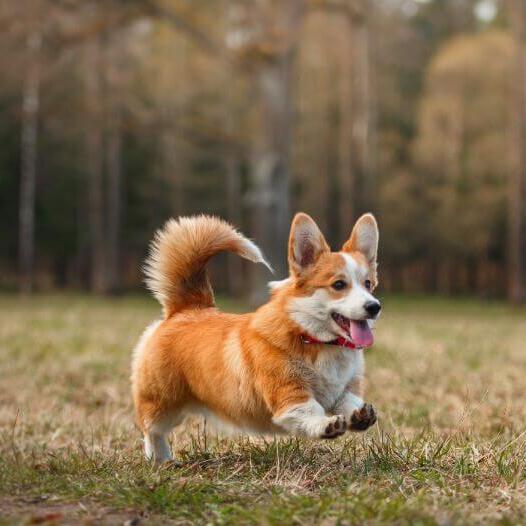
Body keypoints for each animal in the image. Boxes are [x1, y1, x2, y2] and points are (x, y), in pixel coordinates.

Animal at [131, 212, 380, 464]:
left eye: (368, 284)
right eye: (338, 284)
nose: (374, 307)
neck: (315, 338)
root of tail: (186, 309)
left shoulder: (345, 388)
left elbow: (348, 401)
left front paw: (359, 415)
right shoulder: (289, 394)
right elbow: (309, 410)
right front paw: (324, 424)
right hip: (161, 401)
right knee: (151, 429)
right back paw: (160, 459)